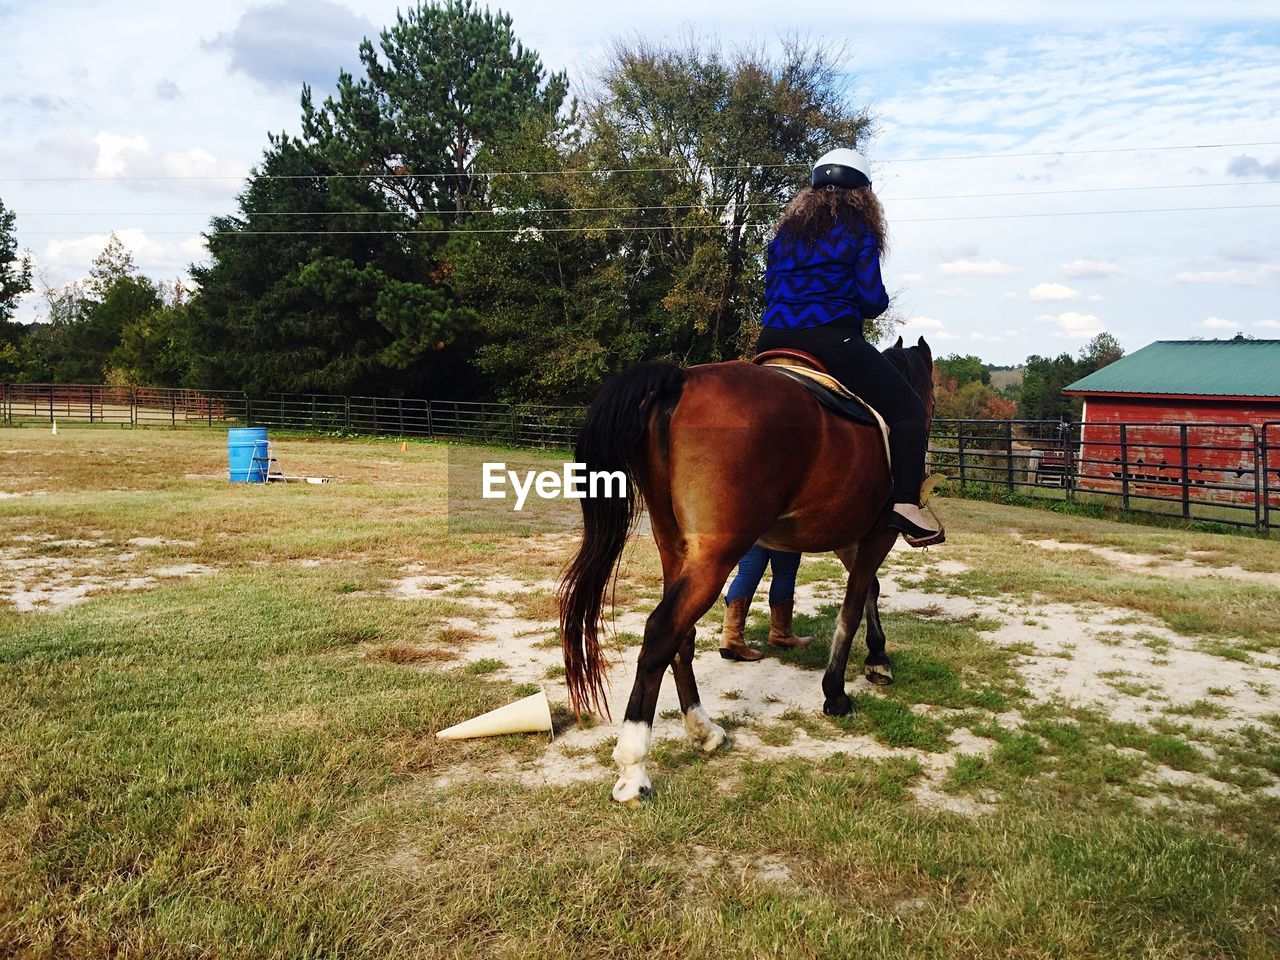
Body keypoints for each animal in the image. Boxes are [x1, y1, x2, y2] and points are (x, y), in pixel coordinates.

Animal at [558, 337, 931, 803]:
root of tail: (680, 379)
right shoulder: (877, 535)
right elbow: (854, 604)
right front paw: (841, 691)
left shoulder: (851, 539)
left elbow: (868, 594)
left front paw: (874, 661)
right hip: (717, 554)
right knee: (663, 630)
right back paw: (634, 767)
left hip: (676, 547)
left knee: (680, 635)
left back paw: (704, 731)